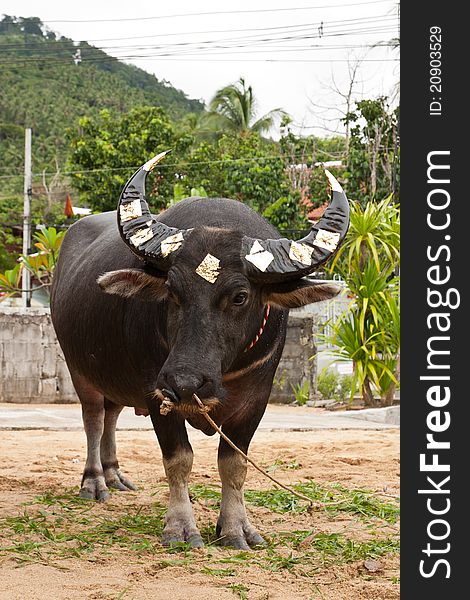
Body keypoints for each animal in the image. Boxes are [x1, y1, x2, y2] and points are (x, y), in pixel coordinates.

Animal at [50, 150, 348, 548]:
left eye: (240, 296)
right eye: (172, 291)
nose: (186, 382)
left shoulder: (257, 397)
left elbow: (234, 464)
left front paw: (236, 528)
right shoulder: (157, 391)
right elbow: (179, 459)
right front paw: (180, 527)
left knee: (112, 415)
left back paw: (115, 475)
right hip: (79, 369)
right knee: (94, 419)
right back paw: (95, 482)